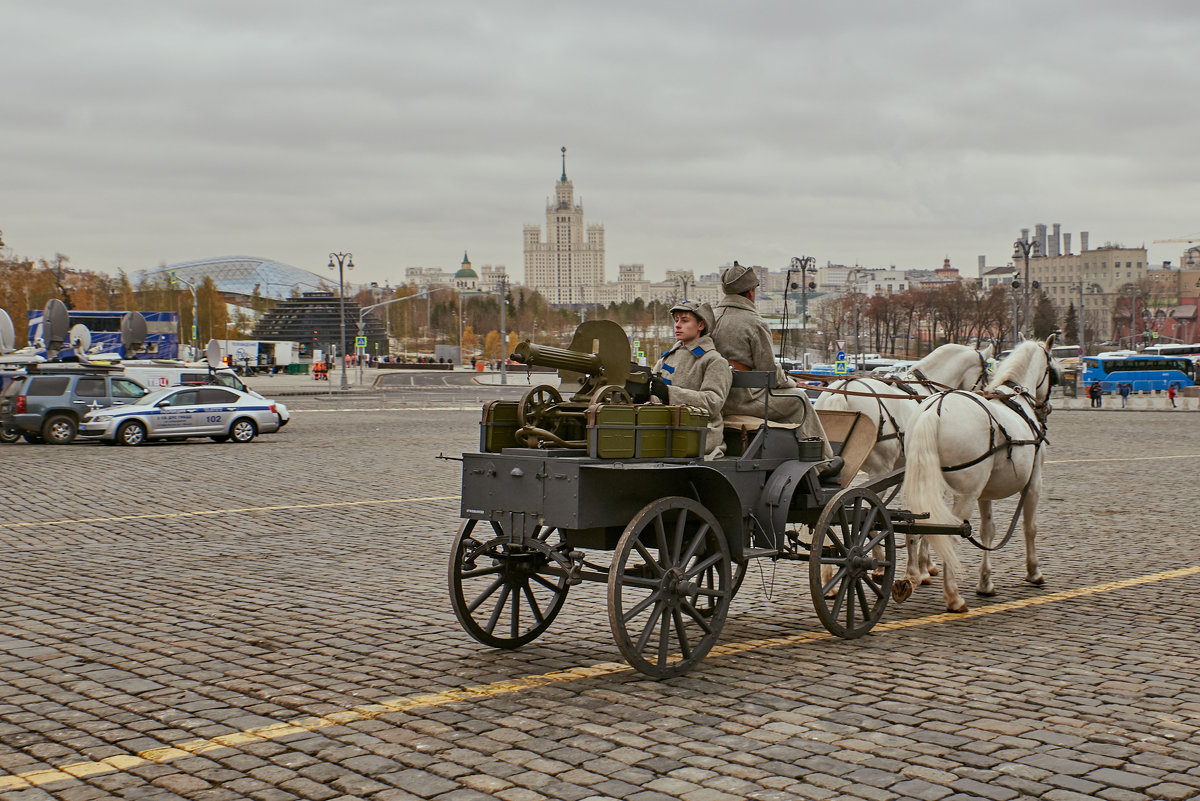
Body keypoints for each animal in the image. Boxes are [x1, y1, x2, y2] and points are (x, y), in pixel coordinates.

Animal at [816, 342, 993, 582]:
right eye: (988, 373)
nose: (988, 396)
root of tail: (842, 389)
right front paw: (923, 568)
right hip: (878, 471)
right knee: (862, 514)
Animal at [902, 335, 1060, 609]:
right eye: (1052, 372)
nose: (1046, 408)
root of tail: (935, 410)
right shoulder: (1034, 483)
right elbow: (1030, 527)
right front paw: (1034, 571)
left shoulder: (985, 493)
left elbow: (988, 530)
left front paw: (985, 582)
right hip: (965, 494)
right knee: (950, 534)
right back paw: (953, 597)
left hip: (927, 484)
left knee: (916, 526)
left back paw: (911, 578)